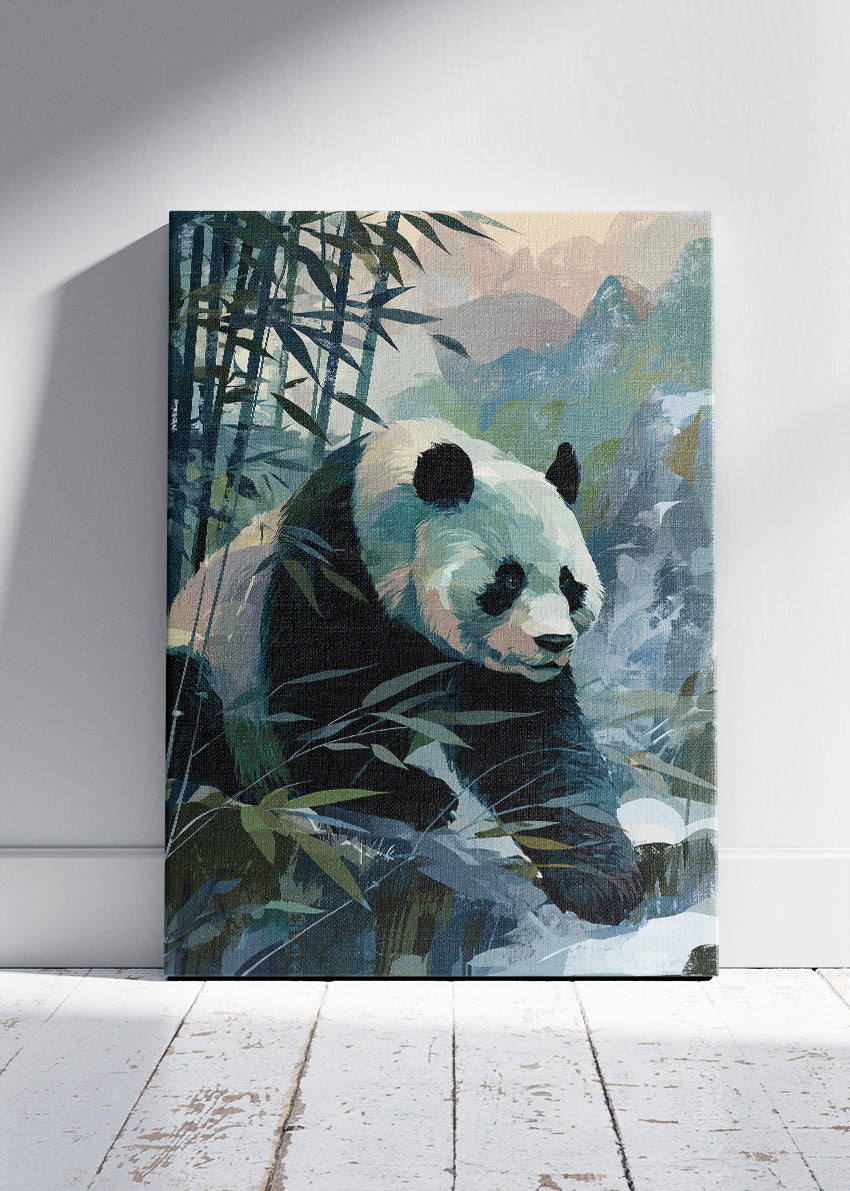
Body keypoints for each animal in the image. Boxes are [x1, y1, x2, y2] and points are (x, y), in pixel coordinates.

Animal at [167, 419, 645, 926]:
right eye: (508, 579)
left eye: (570, 584)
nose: (554, 643)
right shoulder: (326, 564)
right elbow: (320, 706)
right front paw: (417, 793)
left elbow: (529, 743)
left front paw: (604, 881)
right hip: (209, 657)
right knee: (193, 709)